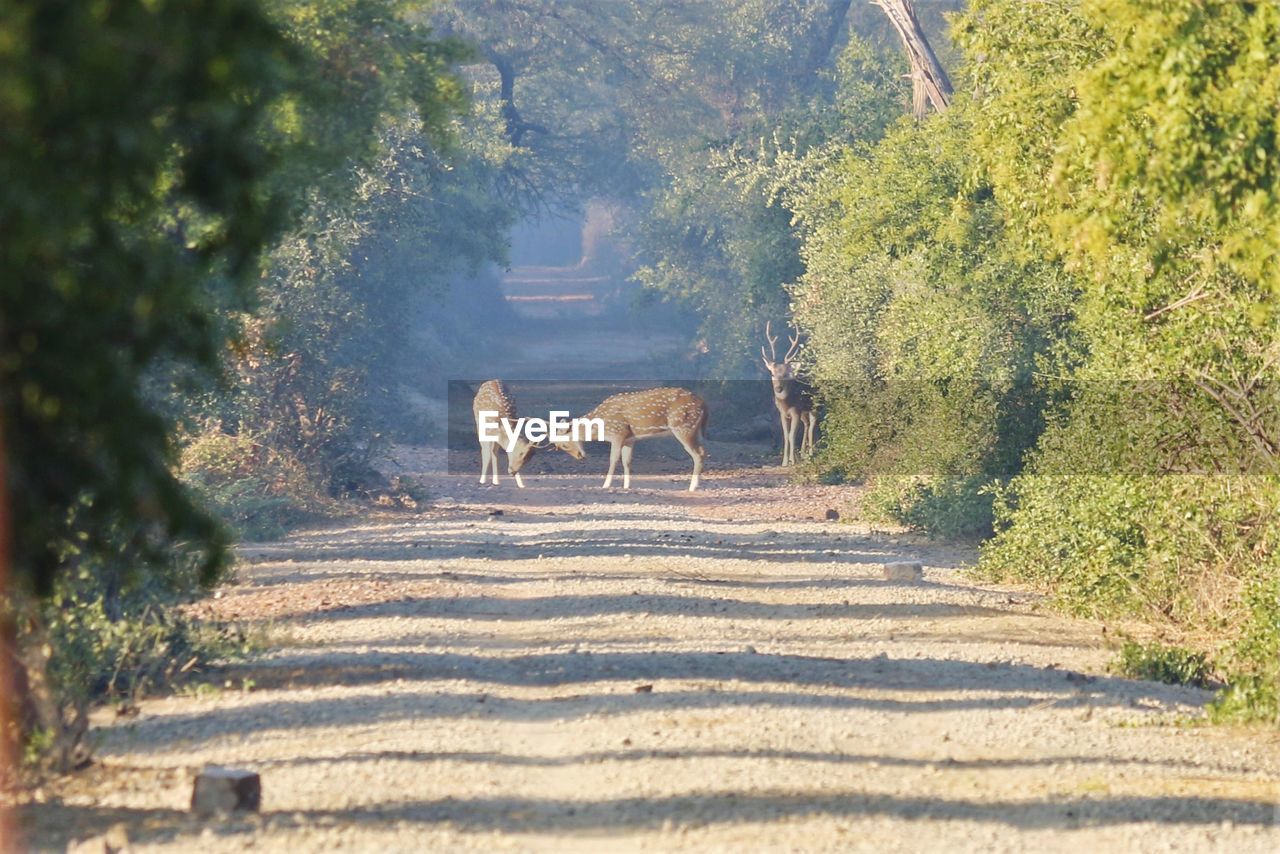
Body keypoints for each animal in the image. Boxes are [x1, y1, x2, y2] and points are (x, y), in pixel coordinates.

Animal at [565, 389, 716, 494]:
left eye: (565, 445)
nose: (579, 456)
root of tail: (705, 405)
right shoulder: (629, 439)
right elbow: (627, 461)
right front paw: (626, 486)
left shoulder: (618, 432)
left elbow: (613, 459)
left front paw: (605, 485)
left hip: (684, 427)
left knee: (699, 453)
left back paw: (692, 487)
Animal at [762, 320, 814, 468]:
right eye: (772, 374)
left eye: (785, 375)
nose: (778, 388)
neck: (786, 403)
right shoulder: (783, 413)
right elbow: (785, 435)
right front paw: (785, 462)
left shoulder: (795, 411)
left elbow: (791, 435)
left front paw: (792, 460)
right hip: (804, 410)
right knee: (807, 424)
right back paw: (803, 454)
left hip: (815, 404)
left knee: (813, 424)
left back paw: (811, 453)